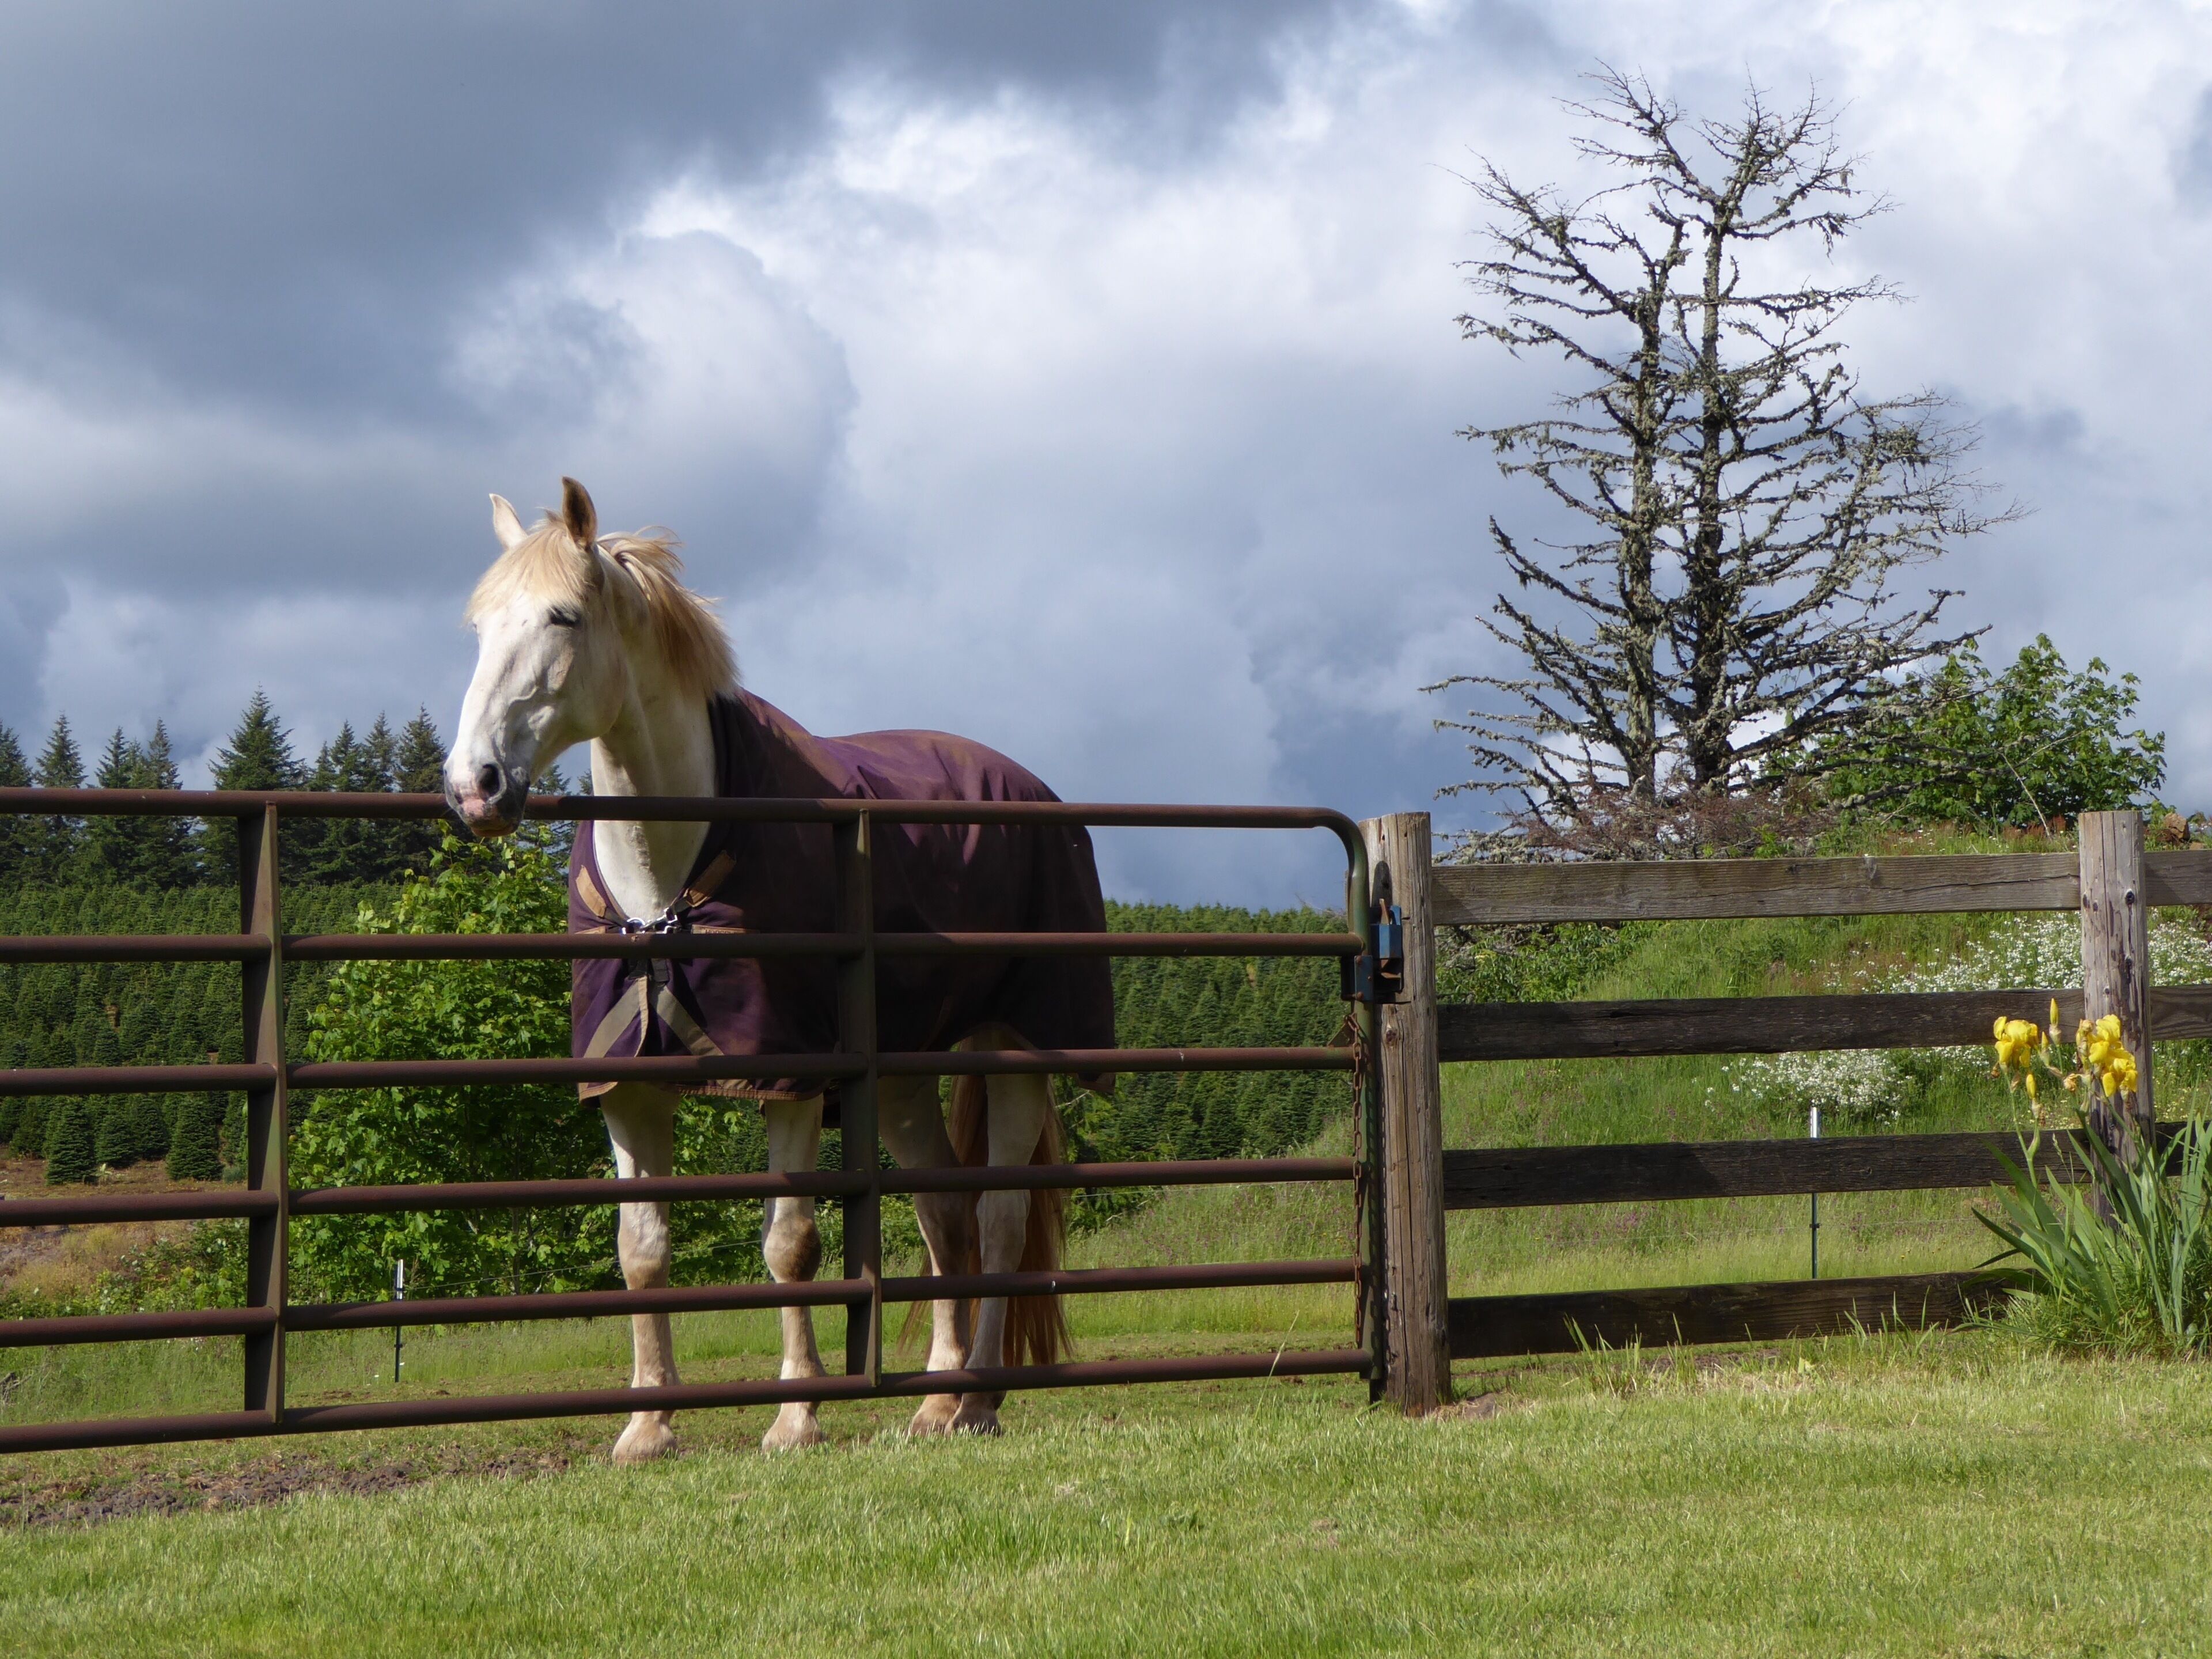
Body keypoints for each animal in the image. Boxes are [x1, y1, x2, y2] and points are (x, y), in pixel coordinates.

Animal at [443, 479, 1114, 1462]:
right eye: (479, 626)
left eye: (563, 616)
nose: (474, 786)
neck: (668, 890)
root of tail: (1030, 789)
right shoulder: (626, 1086)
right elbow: (641, 1249)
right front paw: (647, 1427)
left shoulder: (790, 1079)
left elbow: (789, 1245)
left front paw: (796, 1417)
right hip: (902, 1081)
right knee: (944, 1215)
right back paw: (936, 1404)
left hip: (1021, 1049)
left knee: (996, 1217)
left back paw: (981, 1399)